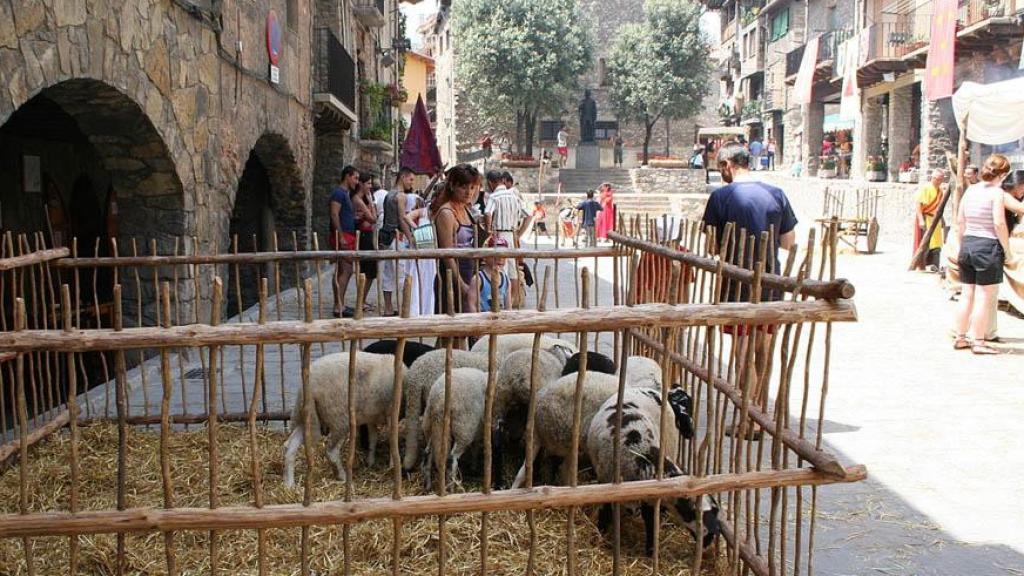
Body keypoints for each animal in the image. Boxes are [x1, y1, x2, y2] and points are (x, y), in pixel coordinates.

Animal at [284, 350, 403, 483]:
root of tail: (308, 388)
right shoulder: (391, 412)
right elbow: (392, 439)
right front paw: (392, 466)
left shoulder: (371, 416)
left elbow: (373, 438)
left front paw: (371, 461)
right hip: (339, 419)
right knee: (331, 452)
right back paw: (344, 477)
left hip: (308, 416)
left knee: (291, 445)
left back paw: (289, 484)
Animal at [585, 385, 720, 553]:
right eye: (701, 517)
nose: (707, 545)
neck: (642, 455)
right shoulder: (605, 484)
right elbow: (605, 514)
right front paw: (601, 535)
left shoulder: (649, 498)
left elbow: (651, 523)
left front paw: (650, 550)